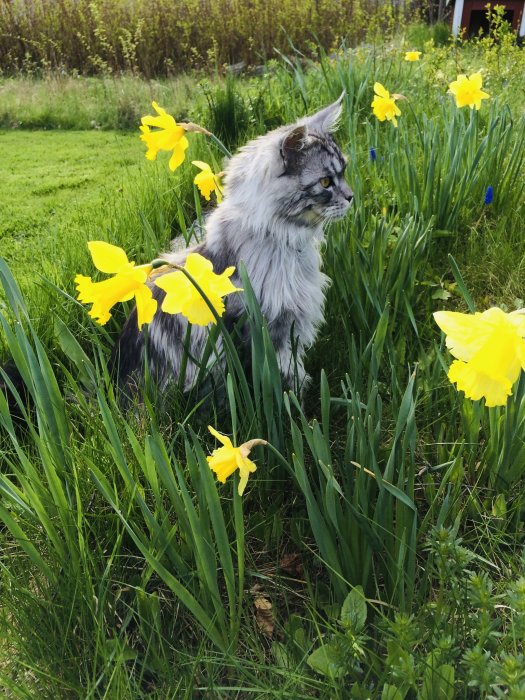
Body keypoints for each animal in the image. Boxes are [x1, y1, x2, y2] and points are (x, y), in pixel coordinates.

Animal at [114, 95, 352, 394]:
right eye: (326, 182)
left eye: (344, 173)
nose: (352, 196)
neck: (283, 240)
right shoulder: (268, 327)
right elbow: (285, 373)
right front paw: (296, 397)